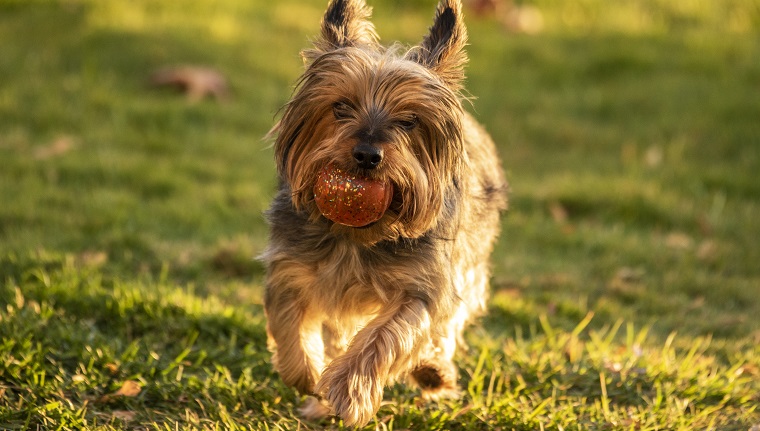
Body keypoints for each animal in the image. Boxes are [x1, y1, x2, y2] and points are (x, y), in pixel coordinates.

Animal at [262, 0, 504, 426]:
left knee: (447, 324)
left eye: (409, 120)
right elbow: (291, 328)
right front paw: (310, 379)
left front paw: (349, 389)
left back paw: (432, 370)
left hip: (469, 264)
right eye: (341, 107)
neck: (357, 235)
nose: (367, 155)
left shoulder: (422, 283)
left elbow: (388, 335)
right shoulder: (291, 267)